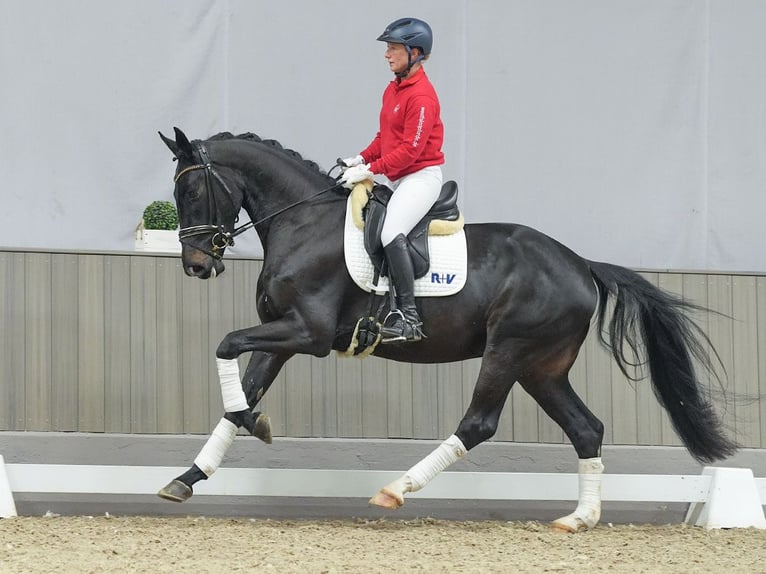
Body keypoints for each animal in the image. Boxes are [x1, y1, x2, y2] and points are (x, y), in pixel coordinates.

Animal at [156, 128, 736, 532]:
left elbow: (226, 345)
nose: (195, 265)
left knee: (479, 423)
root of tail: (580, 264)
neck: (303, 224)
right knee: (586, 428)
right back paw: (579, 518)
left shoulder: (308, 334)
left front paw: (253, 425)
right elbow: (242, 393)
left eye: (193, 192)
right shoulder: (280, 332)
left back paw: (396, 489)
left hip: (508, 351)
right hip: (542, 368)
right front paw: (190, 476)